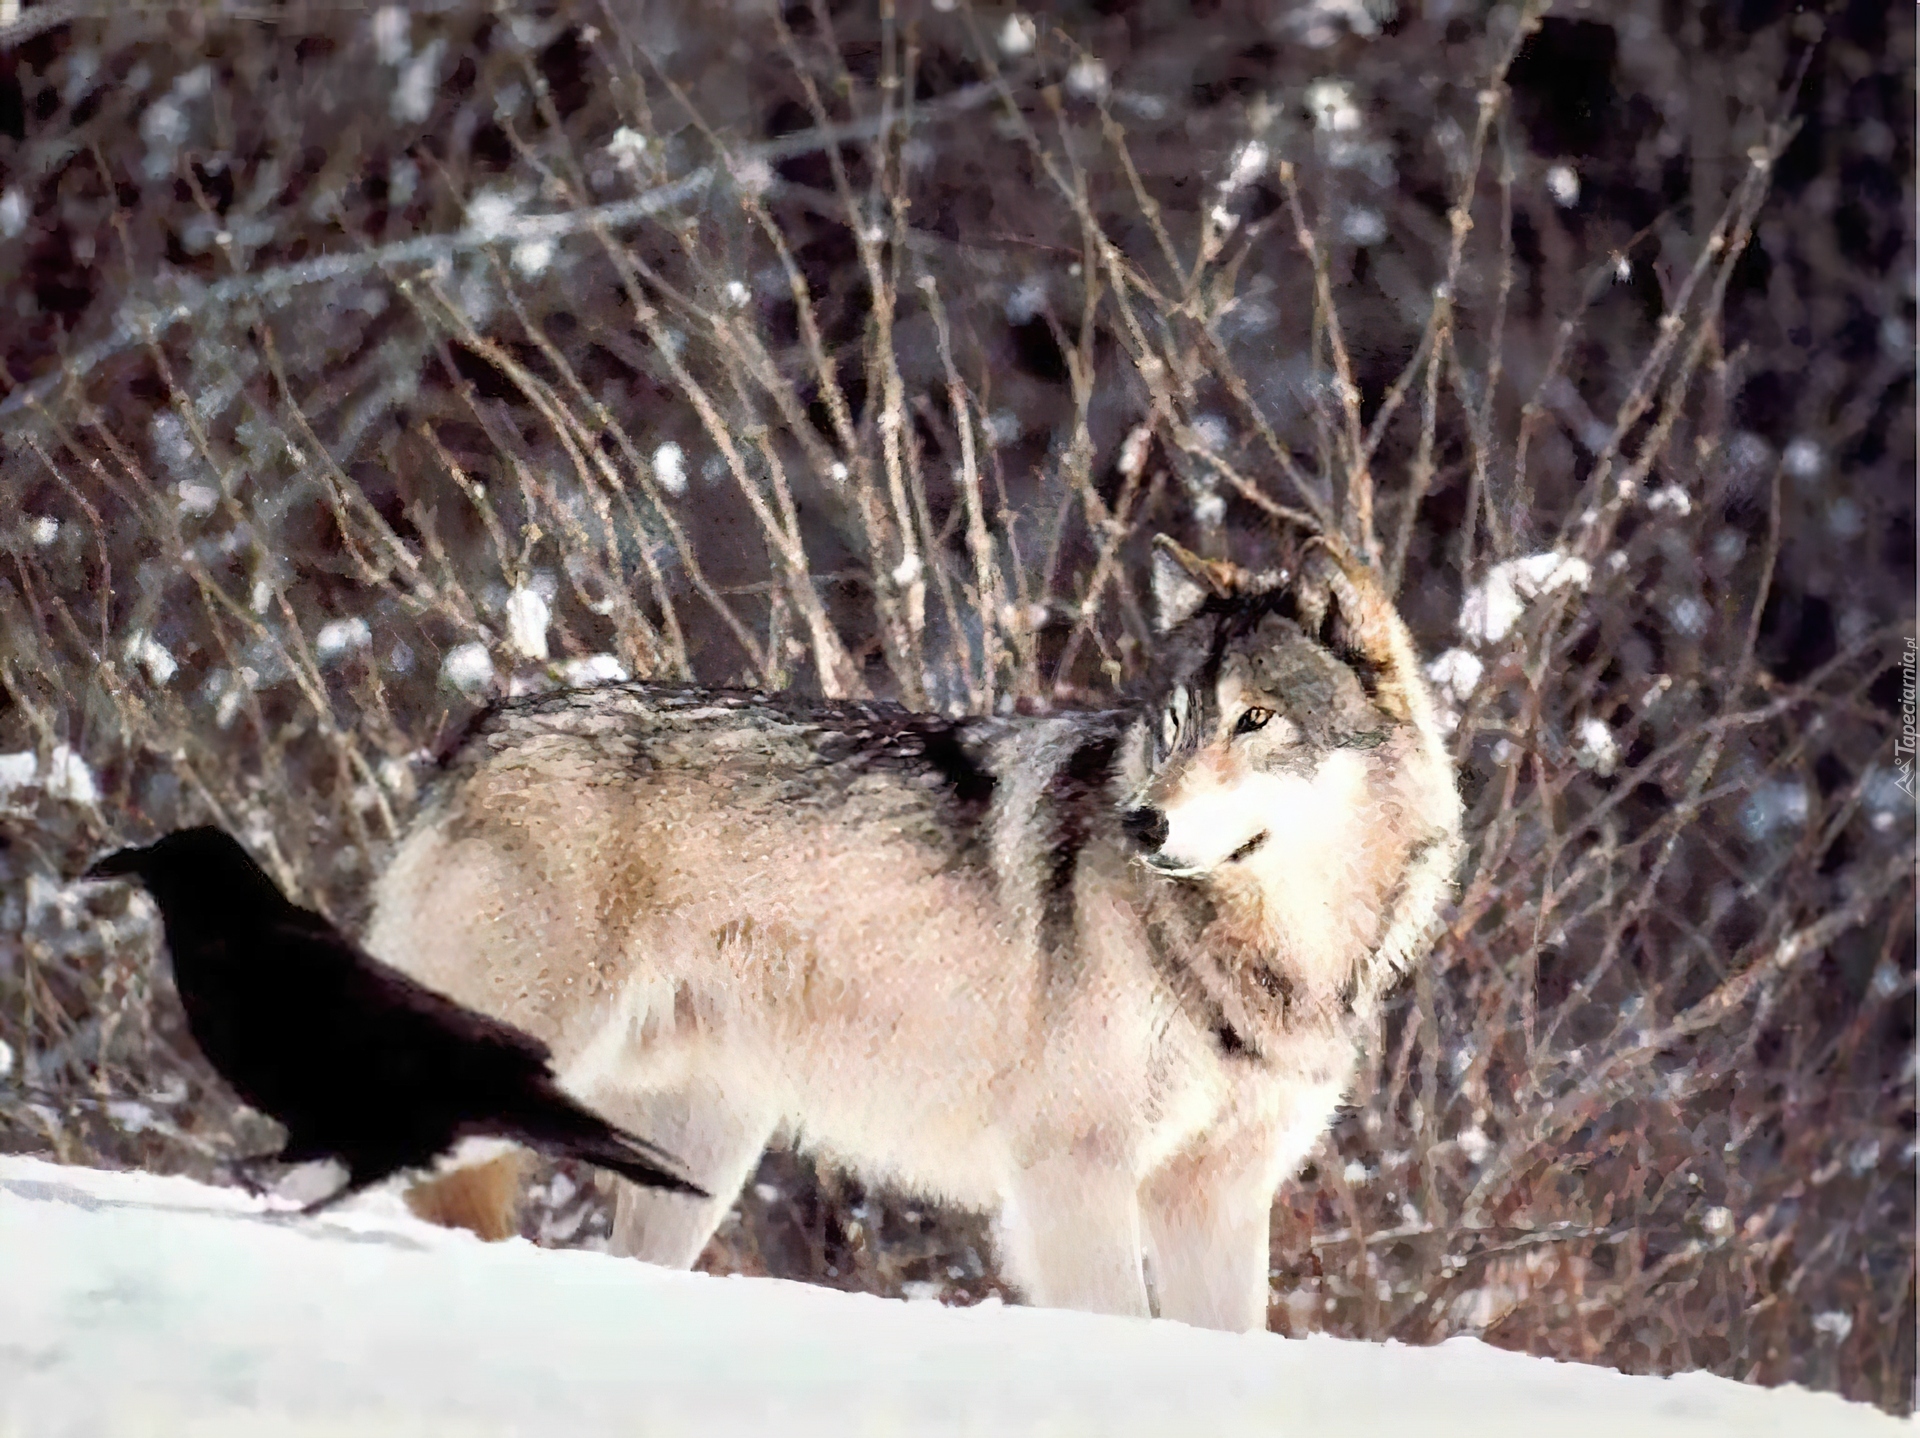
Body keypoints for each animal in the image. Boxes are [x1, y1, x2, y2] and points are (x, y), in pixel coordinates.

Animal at [366, 537, 1459, 1320]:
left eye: (1256, 719)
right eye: (1177, 720)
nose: (1142, 821)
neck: (1268, 950)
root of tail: (480, 732)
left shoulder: (1217, 1199)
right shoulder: (1075, 1176)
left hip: (701, 1155)